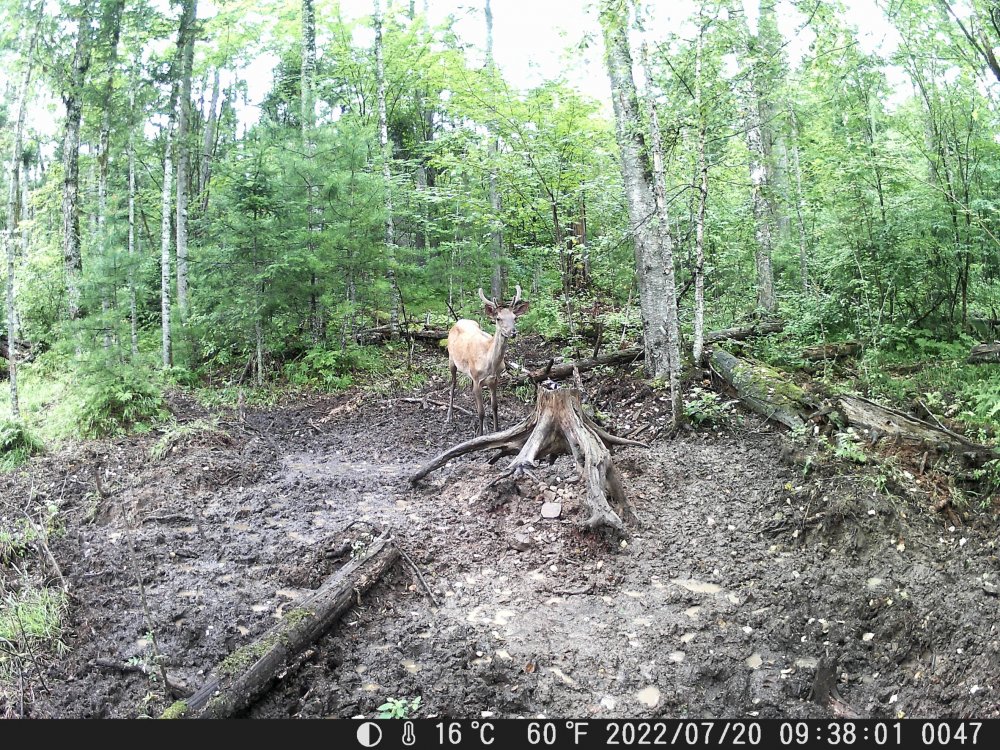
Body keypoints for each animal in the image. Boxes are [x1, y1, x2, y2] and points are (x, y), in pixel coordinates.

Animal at [446, 285, 530, 436]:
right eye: (498, 318)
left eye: (515, 317)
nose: (513, 332)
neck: (490, 364)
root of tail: (458, 321)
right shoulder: (477, 378)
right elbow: (481, 412)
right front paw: (480, 435)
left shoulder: (493, 380)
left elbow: (494, 406)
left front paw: (496, 430)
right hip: (451, 359)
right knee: (453, 384)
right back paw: (449, 416)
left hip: (470, 374)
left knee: (471, 390)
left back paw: (484, 426)